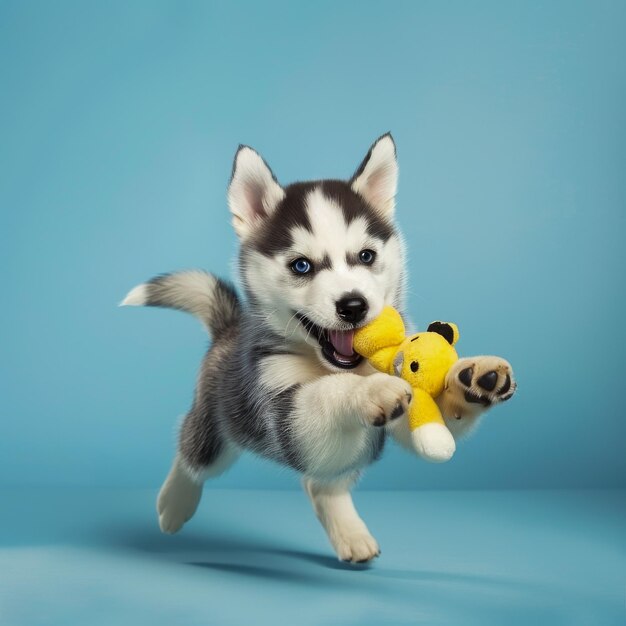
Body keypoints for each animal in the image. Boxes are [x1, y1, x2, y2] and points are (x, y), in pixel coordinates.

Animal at [120, 134, 512, 564]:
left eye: (366, 256)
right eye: (302, 266)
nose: (354, 306)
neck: (332, 364)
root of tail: (228, 329)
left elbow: (437, 415)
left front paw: (475, 377)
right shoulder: (283, 411)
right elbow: (326, 393)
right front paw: (370, 391)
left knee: (322, 482)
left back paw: (348, 531)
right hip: (221, 424)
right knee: (193, 452)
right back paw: (173, 504)